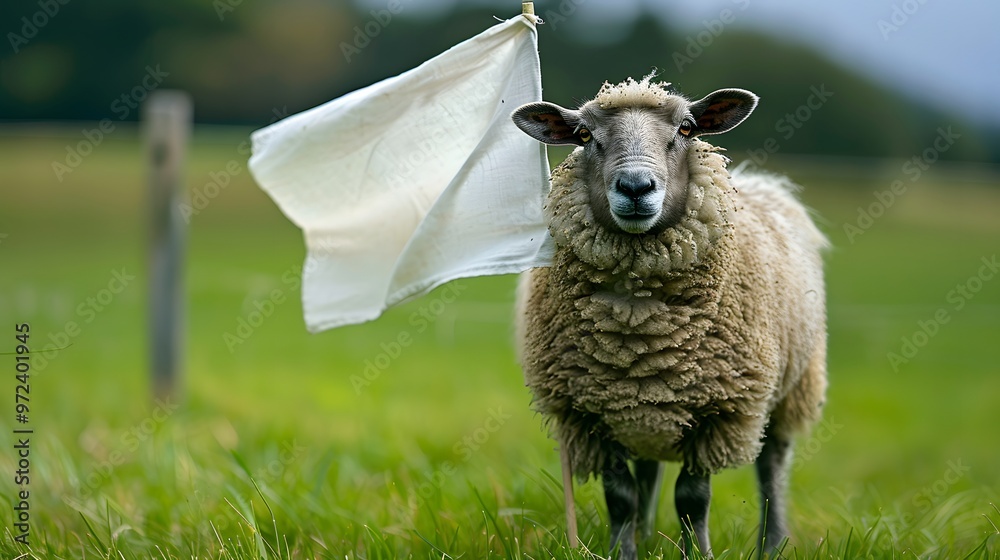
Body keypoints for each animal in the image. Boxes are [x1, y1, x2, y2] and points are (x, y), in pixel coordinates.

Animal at [511, 76, 828, 559]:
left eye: (686, 128)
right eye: (583, 135)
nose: (635, 187)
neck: (637, 319)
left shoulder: (720, 409)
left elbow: (692, 498)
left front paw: (698, 553)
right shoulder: (589, 414)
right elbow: (620, 496)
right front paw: (623, 552)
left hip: (791, 388)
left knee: (772, 466)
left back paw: (772, 544)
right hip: (643, 409)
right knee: (647, 471)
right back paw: (644, 534)